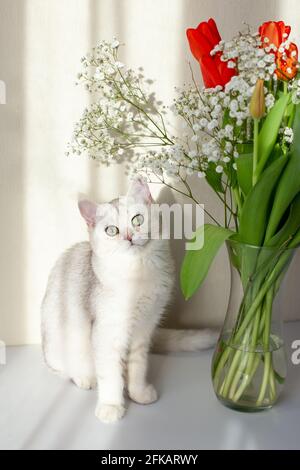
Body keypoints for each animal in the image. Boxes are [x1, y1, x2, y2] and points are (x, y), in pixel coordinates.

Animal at [41, 178, 217, 424]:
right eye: (111, 231)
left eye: (137, 219)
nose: (128, 237)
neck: (139, 273)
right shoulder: (107, 333)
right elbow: (110, 376)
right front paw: (111, 406)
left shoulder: (144, 328)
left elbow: (138, 367)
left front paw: (138, 393)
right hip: (60, 346)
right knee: (66, 370)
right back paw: (84, 378)